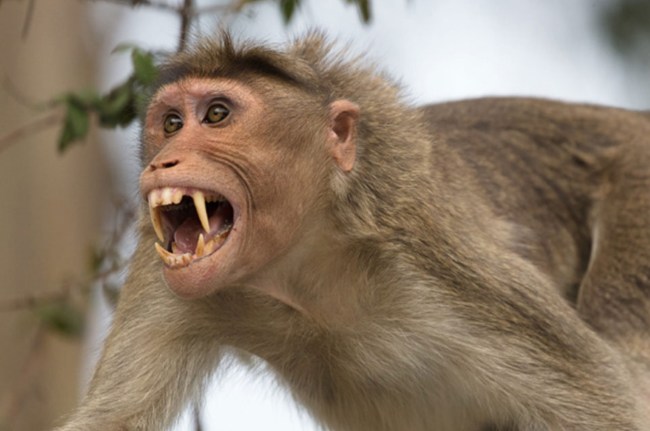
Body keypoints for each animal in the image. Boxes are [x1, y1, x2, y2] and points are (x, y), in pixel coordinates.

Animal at [56, 32, 650, 431]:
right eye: (172, 123)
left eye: (218, 114)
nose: (164, 161)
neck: (304, 268)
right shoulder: (160, 277)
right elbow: (109, 420)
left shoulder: (435, 256)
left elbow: (606, 401)